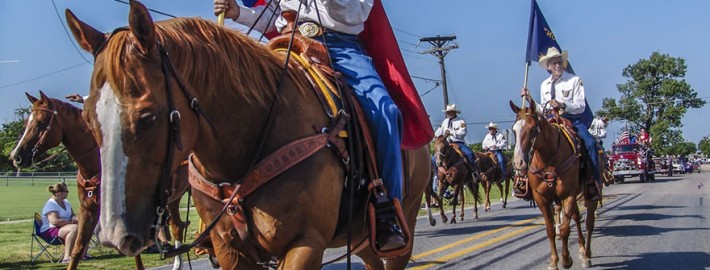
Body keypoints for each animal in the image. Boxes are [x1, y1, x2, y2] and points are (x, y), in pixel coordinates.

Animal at [11, 92, 189, 270]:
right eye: (26, 122)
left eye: (41, 122)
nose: (16, 156)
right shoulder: (88, 209)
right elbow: (78, 248)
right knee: (177, 227)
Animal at [65, 1, 428, 268]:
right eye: (87, 118)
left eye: (148, 117)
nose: (114, 235)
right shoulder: (231, 251)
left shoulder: (306, 244)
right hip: (361, 238)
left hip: (403, 226)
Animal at [508, 100, 596, 268]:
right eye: (514, 130)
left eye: (533, 129)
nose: (518, 163)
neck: (549, 160)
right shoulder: (541, 198)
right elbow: (550, 230)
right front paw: (554, 261)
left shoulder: (568, 195)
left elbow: (564, 229)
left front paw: (566, 259)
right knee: (576, 217)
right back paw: (582, 249)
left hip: (590, 194)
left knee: (589, 222)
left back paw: (586, 255)